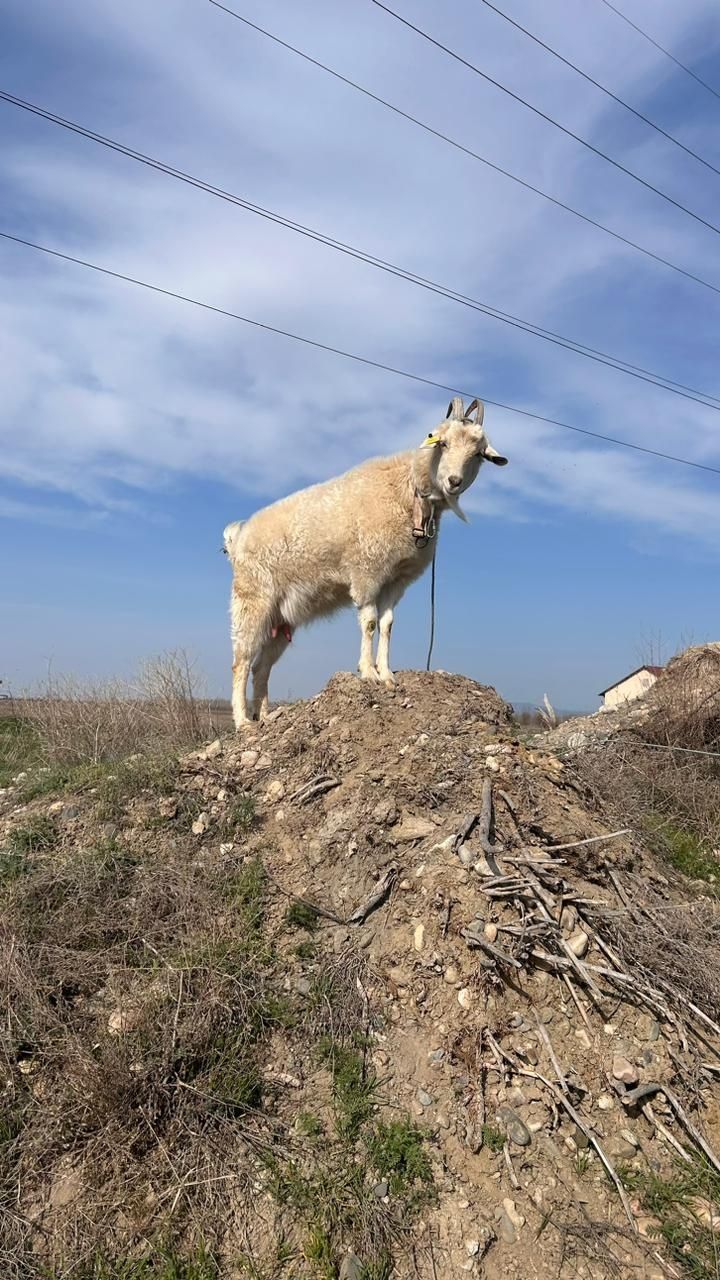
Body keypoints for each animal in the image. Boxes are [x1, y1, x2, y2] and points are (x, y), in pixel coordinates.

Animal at [224, 394, 504, 727]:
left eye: (478, 455)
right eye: (443, 443)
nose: (453, 481)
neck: (408, 490)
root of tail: (237, 538)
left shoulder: (397, 579)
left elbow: (387, 624)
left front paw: (386, 675)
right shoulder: (367, 571)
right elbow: (370, 622)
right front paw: (368, 672)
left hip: (281, 619)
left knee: (262, 666)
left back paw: (265, 715)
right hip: (252, 600)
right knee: (241, 661)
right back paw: (243, 722)